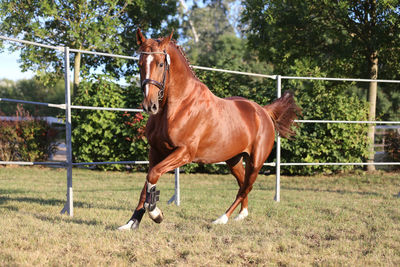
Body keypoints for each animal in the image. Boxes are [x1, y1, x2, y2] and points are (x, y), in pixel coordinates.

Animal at [119, 28, 300, 230]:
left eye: (160, 63)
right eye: (140, 64)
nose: (149, 105)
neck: (178, 105)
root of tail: (263, 111)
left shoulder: (184, 153)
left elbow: (153, 175)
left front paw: (156, 214)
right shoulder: (156, 151)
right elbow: (146, 184)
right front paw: (131, 223)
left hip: (256, 162)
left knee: (246, 187)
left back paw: (222, 218)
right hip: (234, 160)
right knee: (242, 184)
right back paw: (241, 215)